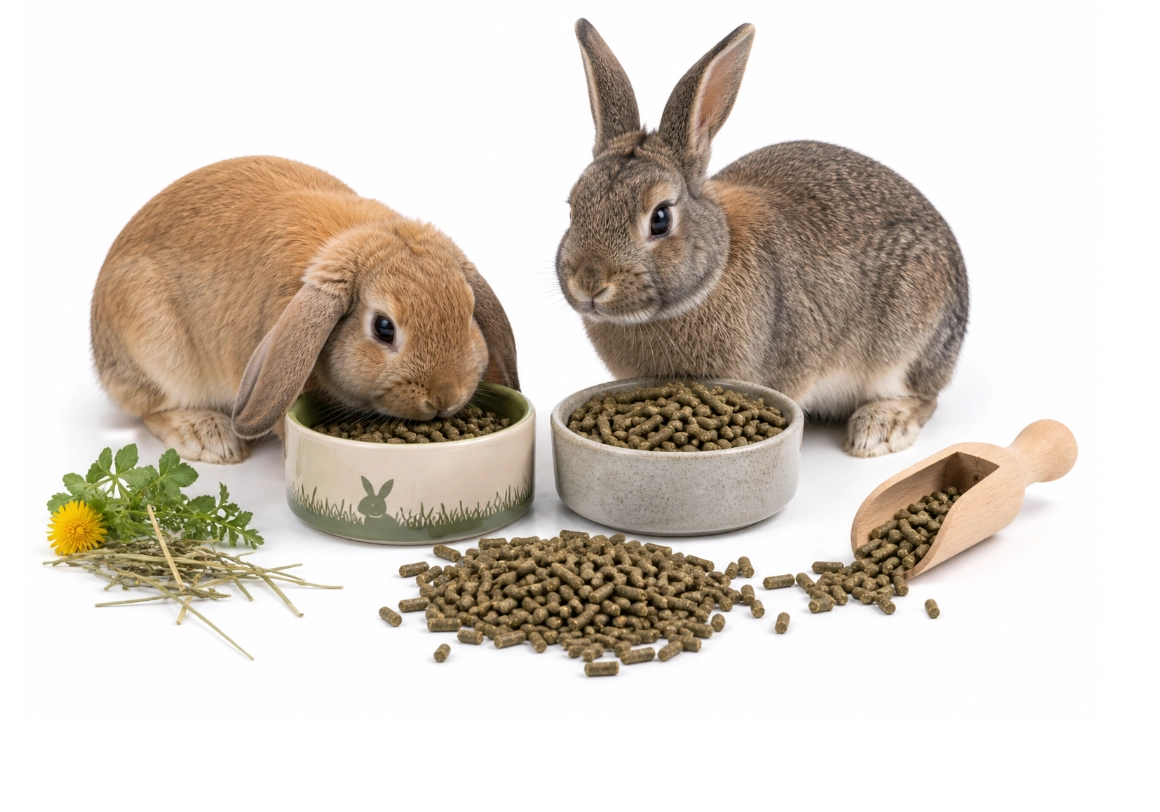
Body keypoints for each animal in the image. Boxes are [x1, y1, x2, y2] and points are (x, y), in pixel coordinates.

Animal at [92, 156, 519, 464]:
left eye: (468, 312)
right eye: (383, 328)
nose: (444, 398)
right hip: (157, 348)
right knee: (150, 408)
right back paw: (211, 438)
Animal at [556, 20, 969, 456]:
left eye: (661, 219)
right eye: (573, 208)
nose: (590, 283)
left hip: (906, 342)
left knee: (925, 397)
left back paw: (877, 430)